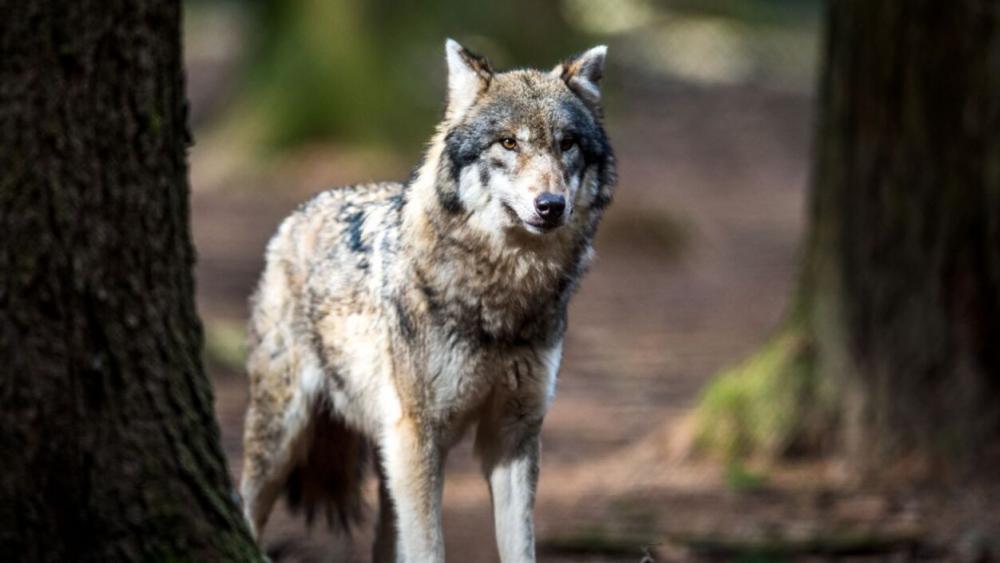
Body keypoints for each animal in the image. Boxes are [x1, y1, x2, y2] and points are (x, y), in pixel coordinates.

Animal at [240, 39, 616, 562]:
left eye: (567, 144)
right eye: (508, 143)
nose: (550, 205)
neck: (502, 297)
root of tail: (299, 212)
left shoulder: (514, 432)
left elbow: (520, 547)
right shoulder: (420, 435)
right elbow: (428, 547)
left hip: (384, 454)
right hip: (285, 433)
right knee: (245, 505)